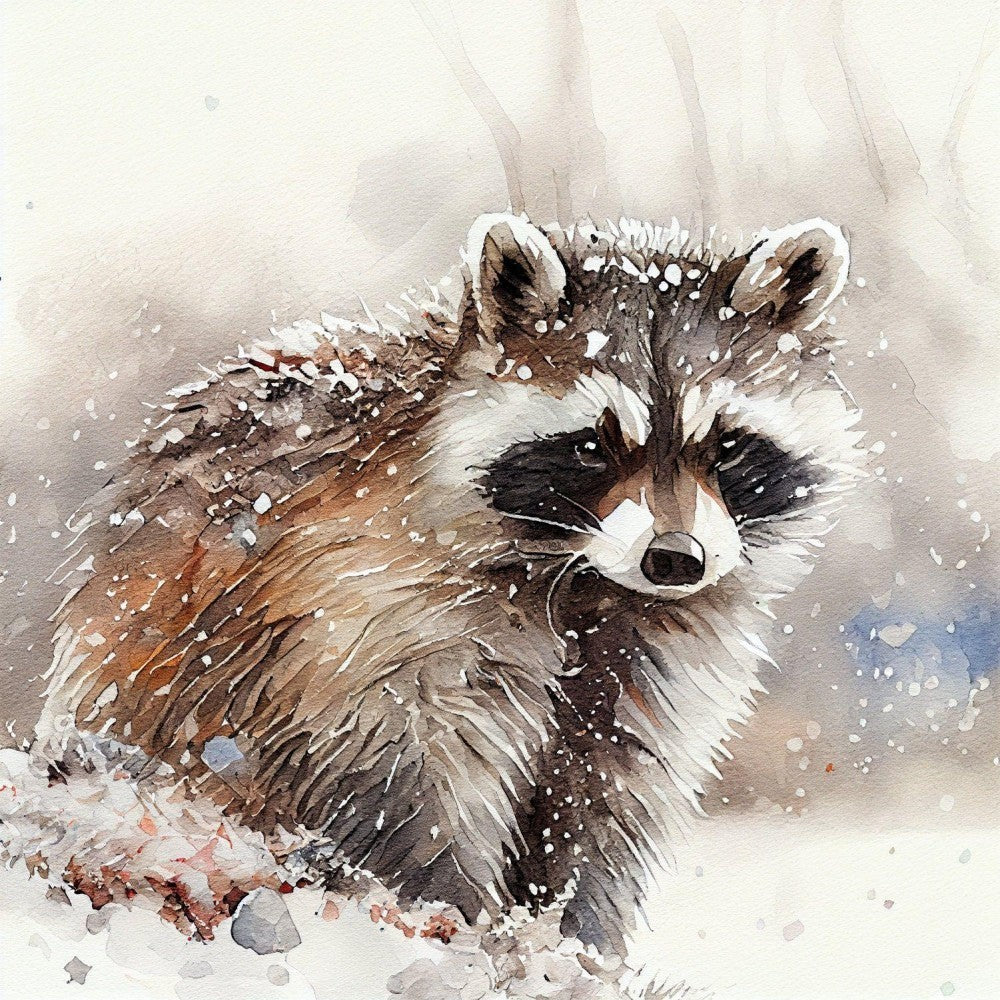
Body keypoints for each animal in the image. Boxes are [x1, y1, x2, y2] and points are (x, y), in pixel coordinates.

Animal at [40, 212, 862, 952]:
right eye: (592, 446)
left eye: (727, 445)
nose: (674, 558)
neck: (584, 577)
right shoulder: (362, 600)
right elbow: (403, 774)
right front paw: (455, 915)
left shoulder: (655, 655)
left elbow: (606, 795)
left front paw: (582, 937)